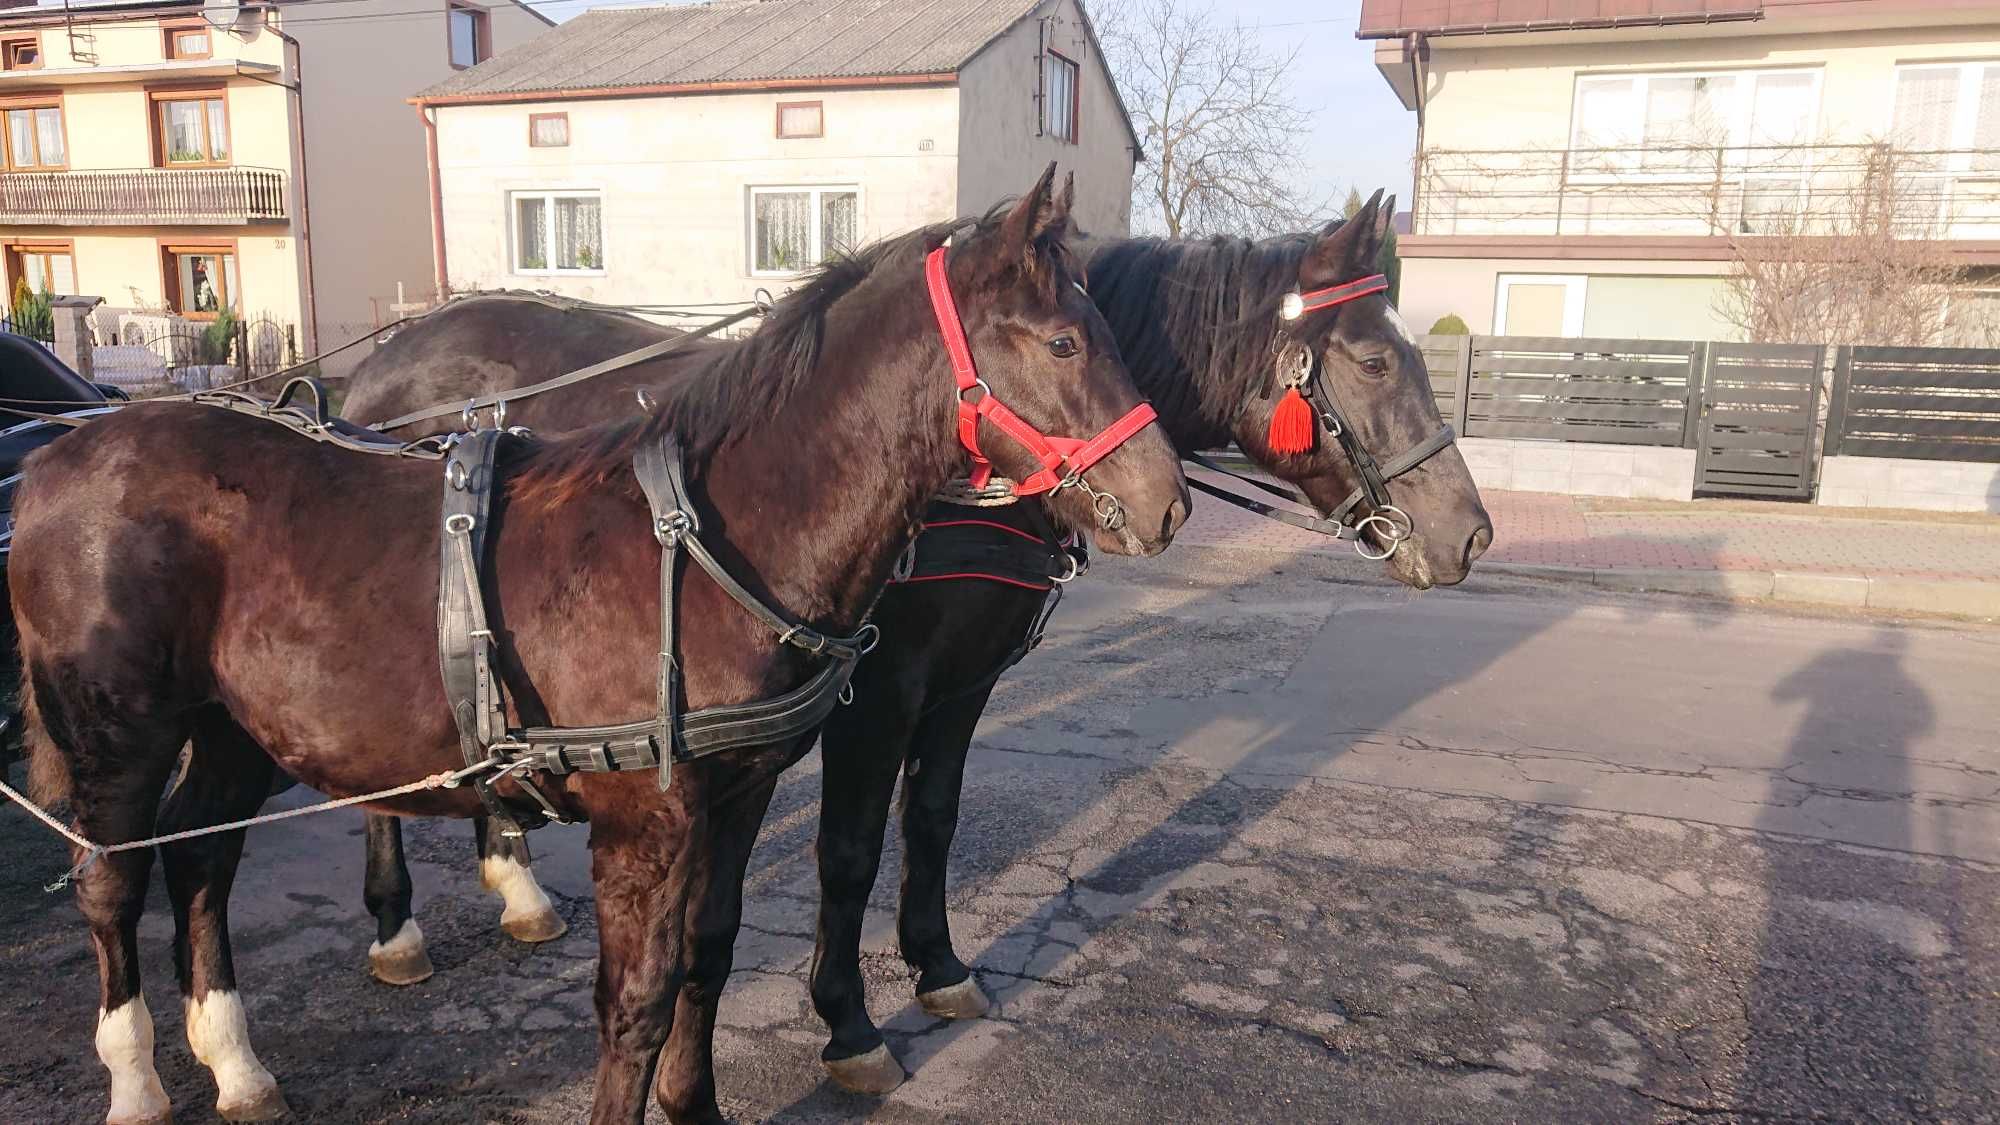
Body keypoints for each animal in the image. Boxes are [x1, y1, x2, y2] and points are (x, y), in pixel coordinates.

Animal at [11, 173, 1184, 1120]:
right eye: (1063, 341)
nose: (1163, 502)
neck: (712, 539)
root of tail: (62, 455)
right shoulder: (646, 822)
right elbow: (637, 1001)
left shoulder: (740, 793)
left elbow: (709, 959)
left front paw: (696, 1105)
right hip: (120, 737)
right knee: (112, 881)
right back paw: (140, 1081)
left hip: (237, 727)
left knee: (200, 857)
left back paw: (238, 1066)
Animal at [336, 188, 1496, 1096]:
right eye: (1371, 360)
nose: (1470, 533)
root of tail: (386, 360)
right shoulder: (877, 695)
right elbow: (849, 851)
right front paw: (846, 1020)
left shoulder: (961, 687)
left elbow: (932, 819)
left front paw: (936, 966)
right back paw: (396, 927)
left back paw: (517, 882)